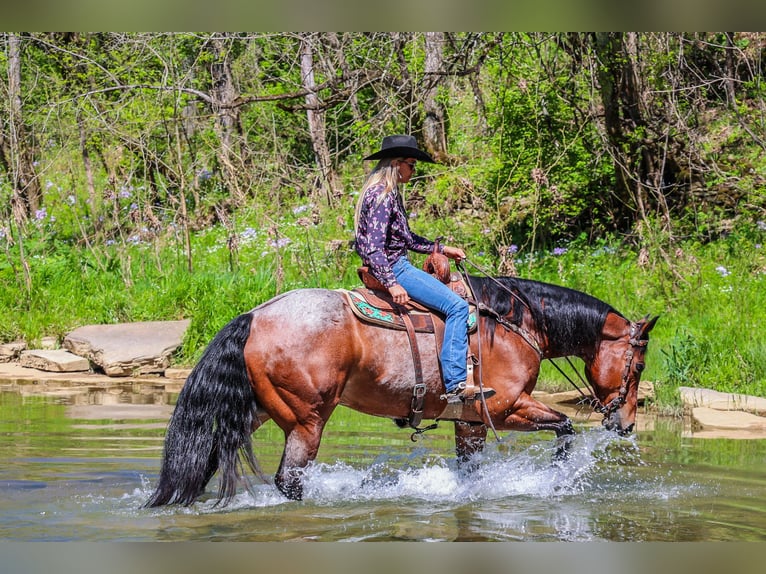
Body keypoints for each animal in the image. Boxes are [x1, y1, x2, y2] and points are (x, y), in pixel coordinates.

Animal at [146, 276, 660, 506]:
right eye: (638, 365)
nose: (626, 423)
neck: (515, 325)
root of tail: (256, 315)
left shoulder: (470, 422)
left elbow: (470, 472)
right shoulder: (506, 408)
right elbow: (566, 427)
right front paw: (557, 478)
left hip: (259, 410)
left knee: (207, 457)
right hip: (307, 421)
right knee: (289, 481)